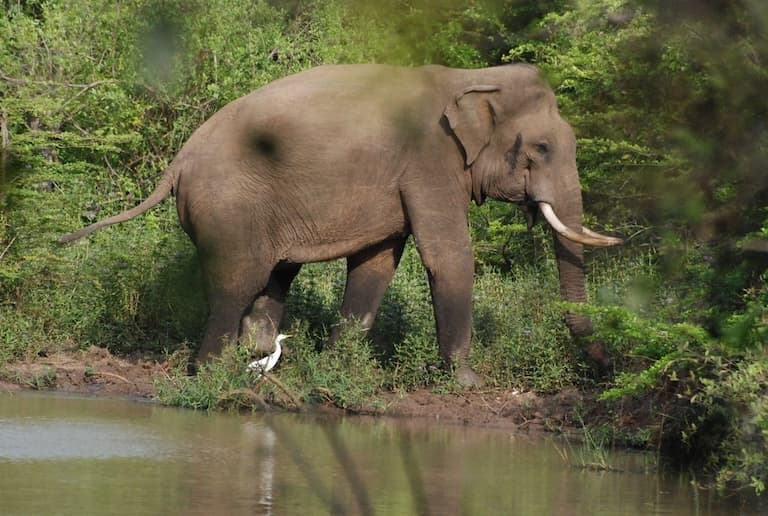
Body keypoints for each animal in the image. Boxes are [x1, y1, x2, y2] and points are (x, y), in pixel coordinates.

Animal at [60, 63, 621, 386]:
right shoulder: (429, 159)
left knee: (273, 277)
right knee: (237, 282)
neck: (469, 77)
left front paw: (337, 369)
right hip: (229, 209)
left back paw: (257, 355)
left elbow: (378, 262)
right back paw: (214, 372)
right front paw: (467, 382)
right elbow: (447, 254)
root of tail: (176, 163)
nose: (606, 366)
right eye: (541, 148)